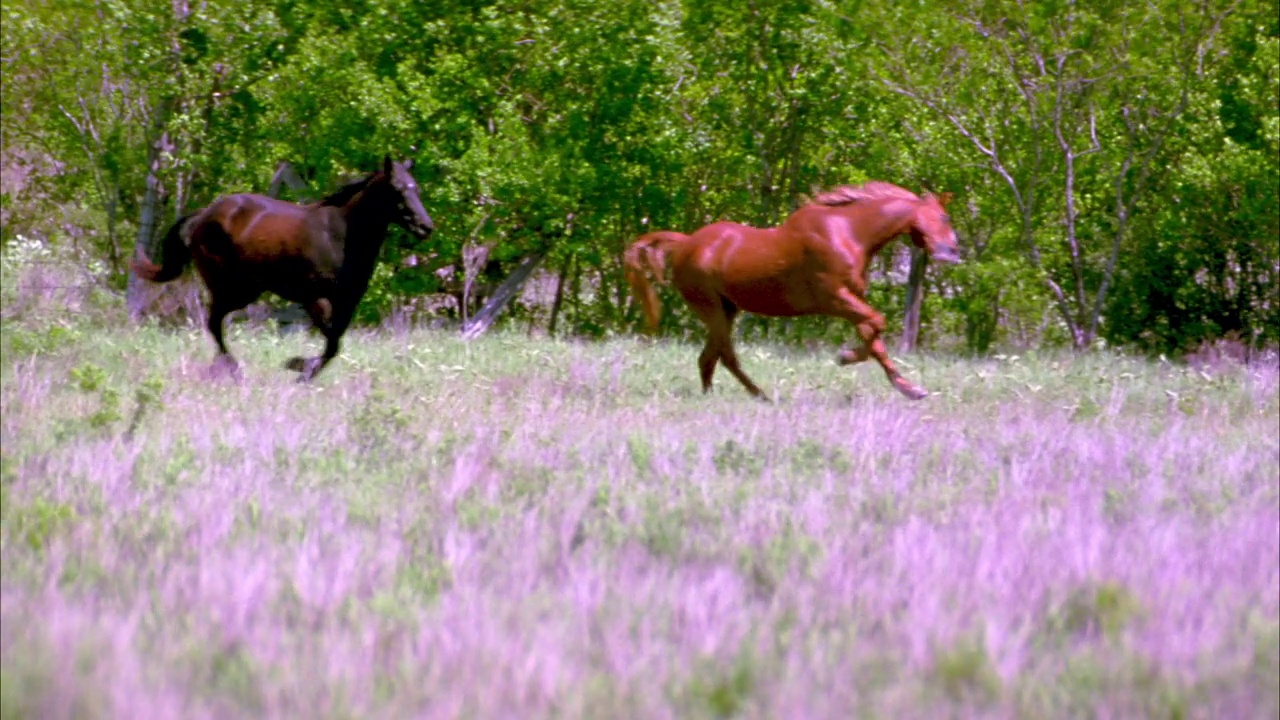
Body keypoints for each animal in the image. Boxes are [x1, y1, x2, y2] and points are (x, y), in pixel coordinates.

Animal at [133, 155, 435, 381]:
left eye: (417, 188)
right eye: (398, 189)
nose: (426, 227)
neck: (340, 236)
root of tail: (204, 215)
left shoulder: (348, 301)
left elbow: (335, 341)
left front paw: (302, 369)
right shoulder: (314, 298)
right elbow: (331, 339)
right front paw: (298, 366)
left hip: (243, 290)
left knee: (215, 322)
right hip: (231, 288)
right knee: (213, 322)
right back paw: (234, 370)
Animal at [624, 180, 962, 397]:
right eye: (945, 217)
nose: (954, 252)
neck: (848, 231)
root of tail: (685, 244)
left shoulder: (853, 299)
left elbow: (874, 336)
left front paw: (909, 388)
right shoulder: (834, 299)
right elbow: (877, 324)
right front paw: (845, 357)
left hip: (726, 309)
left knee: (710, 357)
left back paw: (728, 395)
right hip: (712, 309)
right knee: (723, 356)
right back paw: (757, 394)